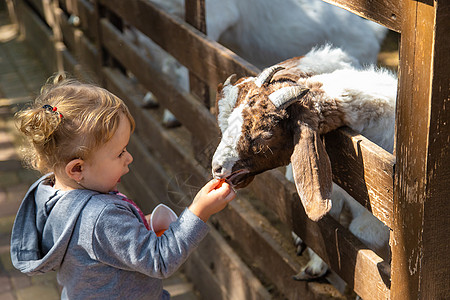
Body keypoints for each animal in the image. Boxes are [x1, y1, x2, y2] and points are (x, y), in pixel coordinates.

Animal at [210, 45, 394, 288]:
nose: (217, 167)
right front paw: (315, 266)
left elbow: (361, 243)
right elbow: (327, 224)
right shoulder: (334, 189)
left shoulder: (381, 220)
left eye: (265, 134)